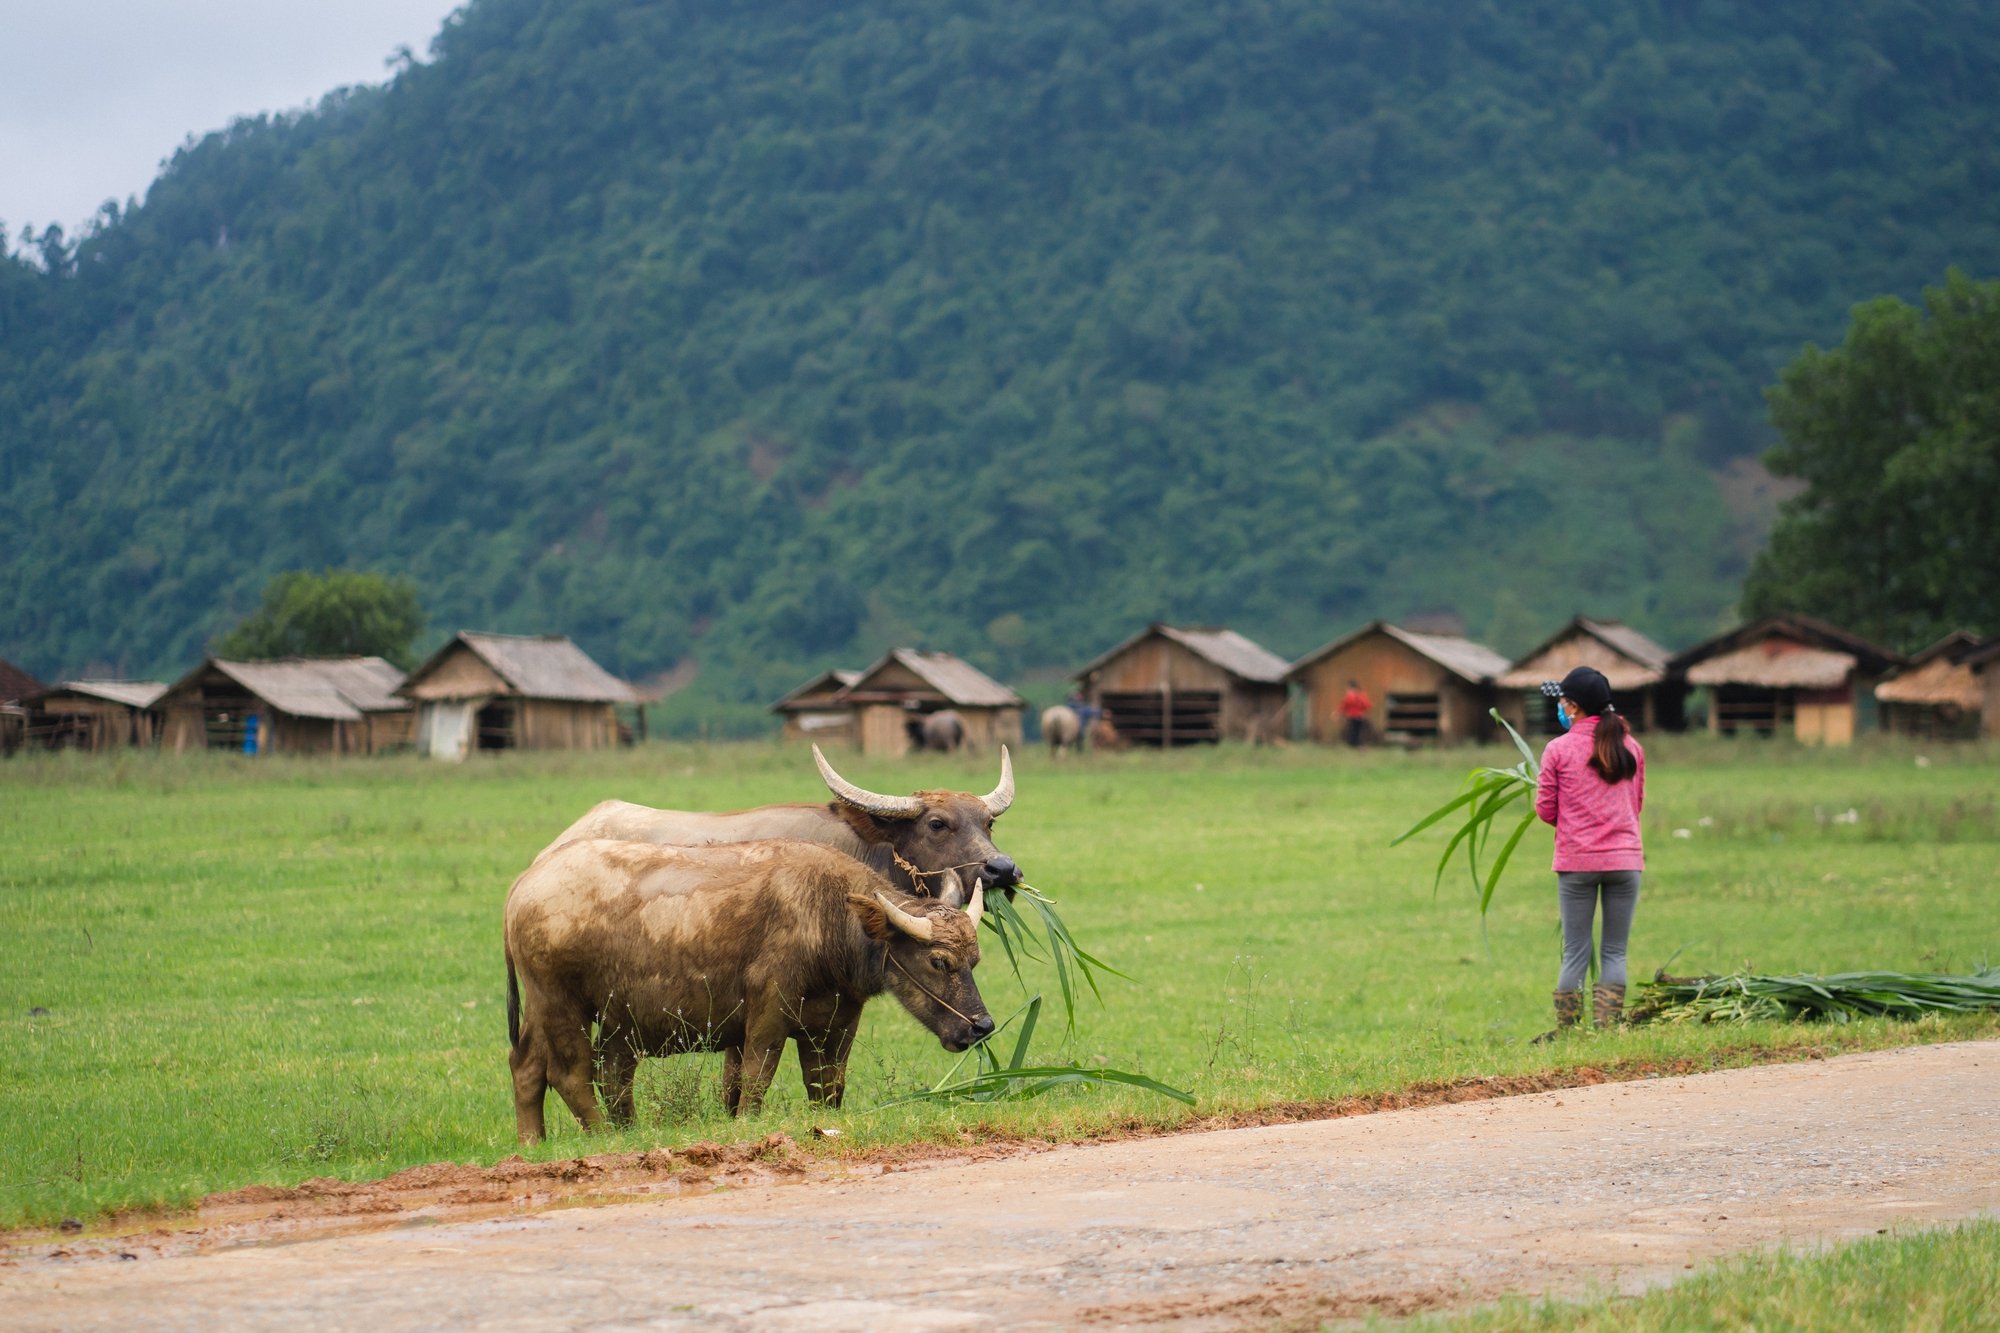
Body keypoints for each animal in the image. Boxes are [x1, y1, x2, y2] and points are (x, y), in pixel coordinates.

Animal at [508, 836, 992, 1136]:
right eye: (939, 961)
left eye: (975, 960)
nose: (981, 1026)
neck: (828, 915)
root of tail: (524, 885)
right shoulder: (768, 1013)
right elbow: (756, 1078)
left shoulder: (835, 1024)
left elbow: (825, 1087)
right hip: (560, 1003)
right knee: (570, 1074)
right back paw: (606, 1135)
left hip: (557, 1012)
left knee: (532, 1067)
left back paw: (534, 1141)